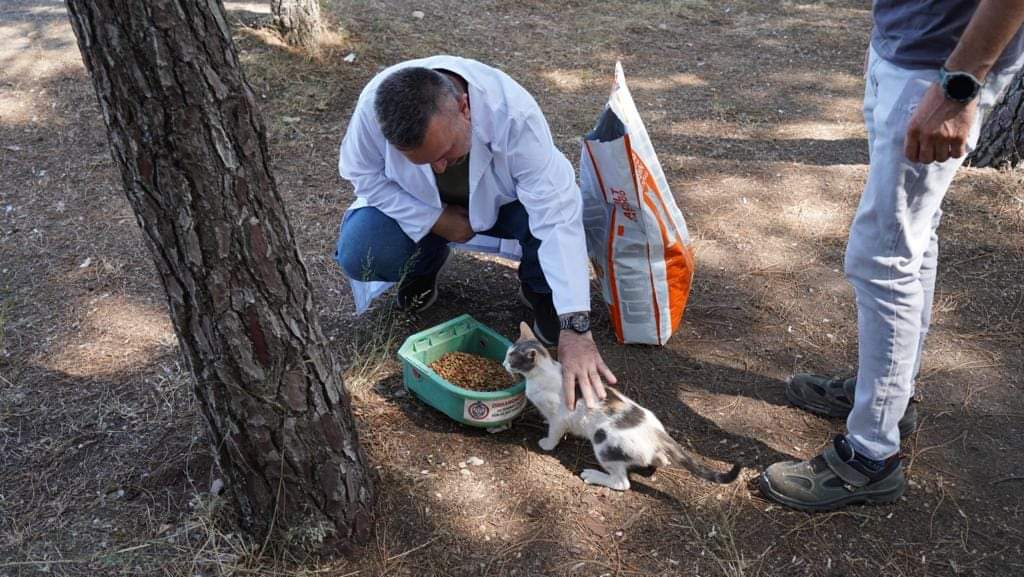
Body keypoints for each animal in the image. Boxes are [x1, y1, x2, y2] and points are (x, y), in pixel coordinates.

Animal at [501, 323, 737, 489]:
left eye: (511, 359)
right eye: (506, 355)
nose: (503, 364)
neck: (540, 376)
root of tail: (657, 433)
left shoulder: (560, 417)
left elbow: (554, 432)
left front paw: (547, 443)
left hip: (603, 439)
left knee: (622, 483)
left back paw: (594, 475)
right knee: (661, 459)